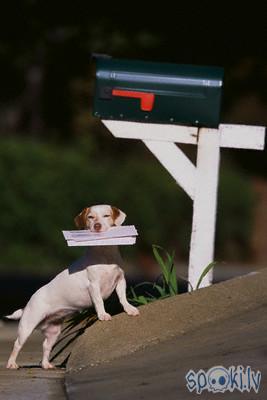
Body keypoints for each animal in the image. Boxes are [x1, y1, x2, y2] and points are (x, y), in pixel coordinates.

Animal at [5, 205, 140, 370]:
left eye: (106, 216)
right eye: (90, 217)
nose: (97, 226)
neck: (104, 254)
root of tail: (28, 304)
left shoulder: (120, 280)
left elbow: (122, 297)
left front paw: (129, 309)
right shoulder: (94, 285)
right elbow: (99, 302)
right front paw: (103, 315)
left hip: (54, 331)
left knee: (46, 346)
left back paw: (46, 364)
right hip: (27, 327)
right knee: (17, 344)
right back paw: (11, 363)